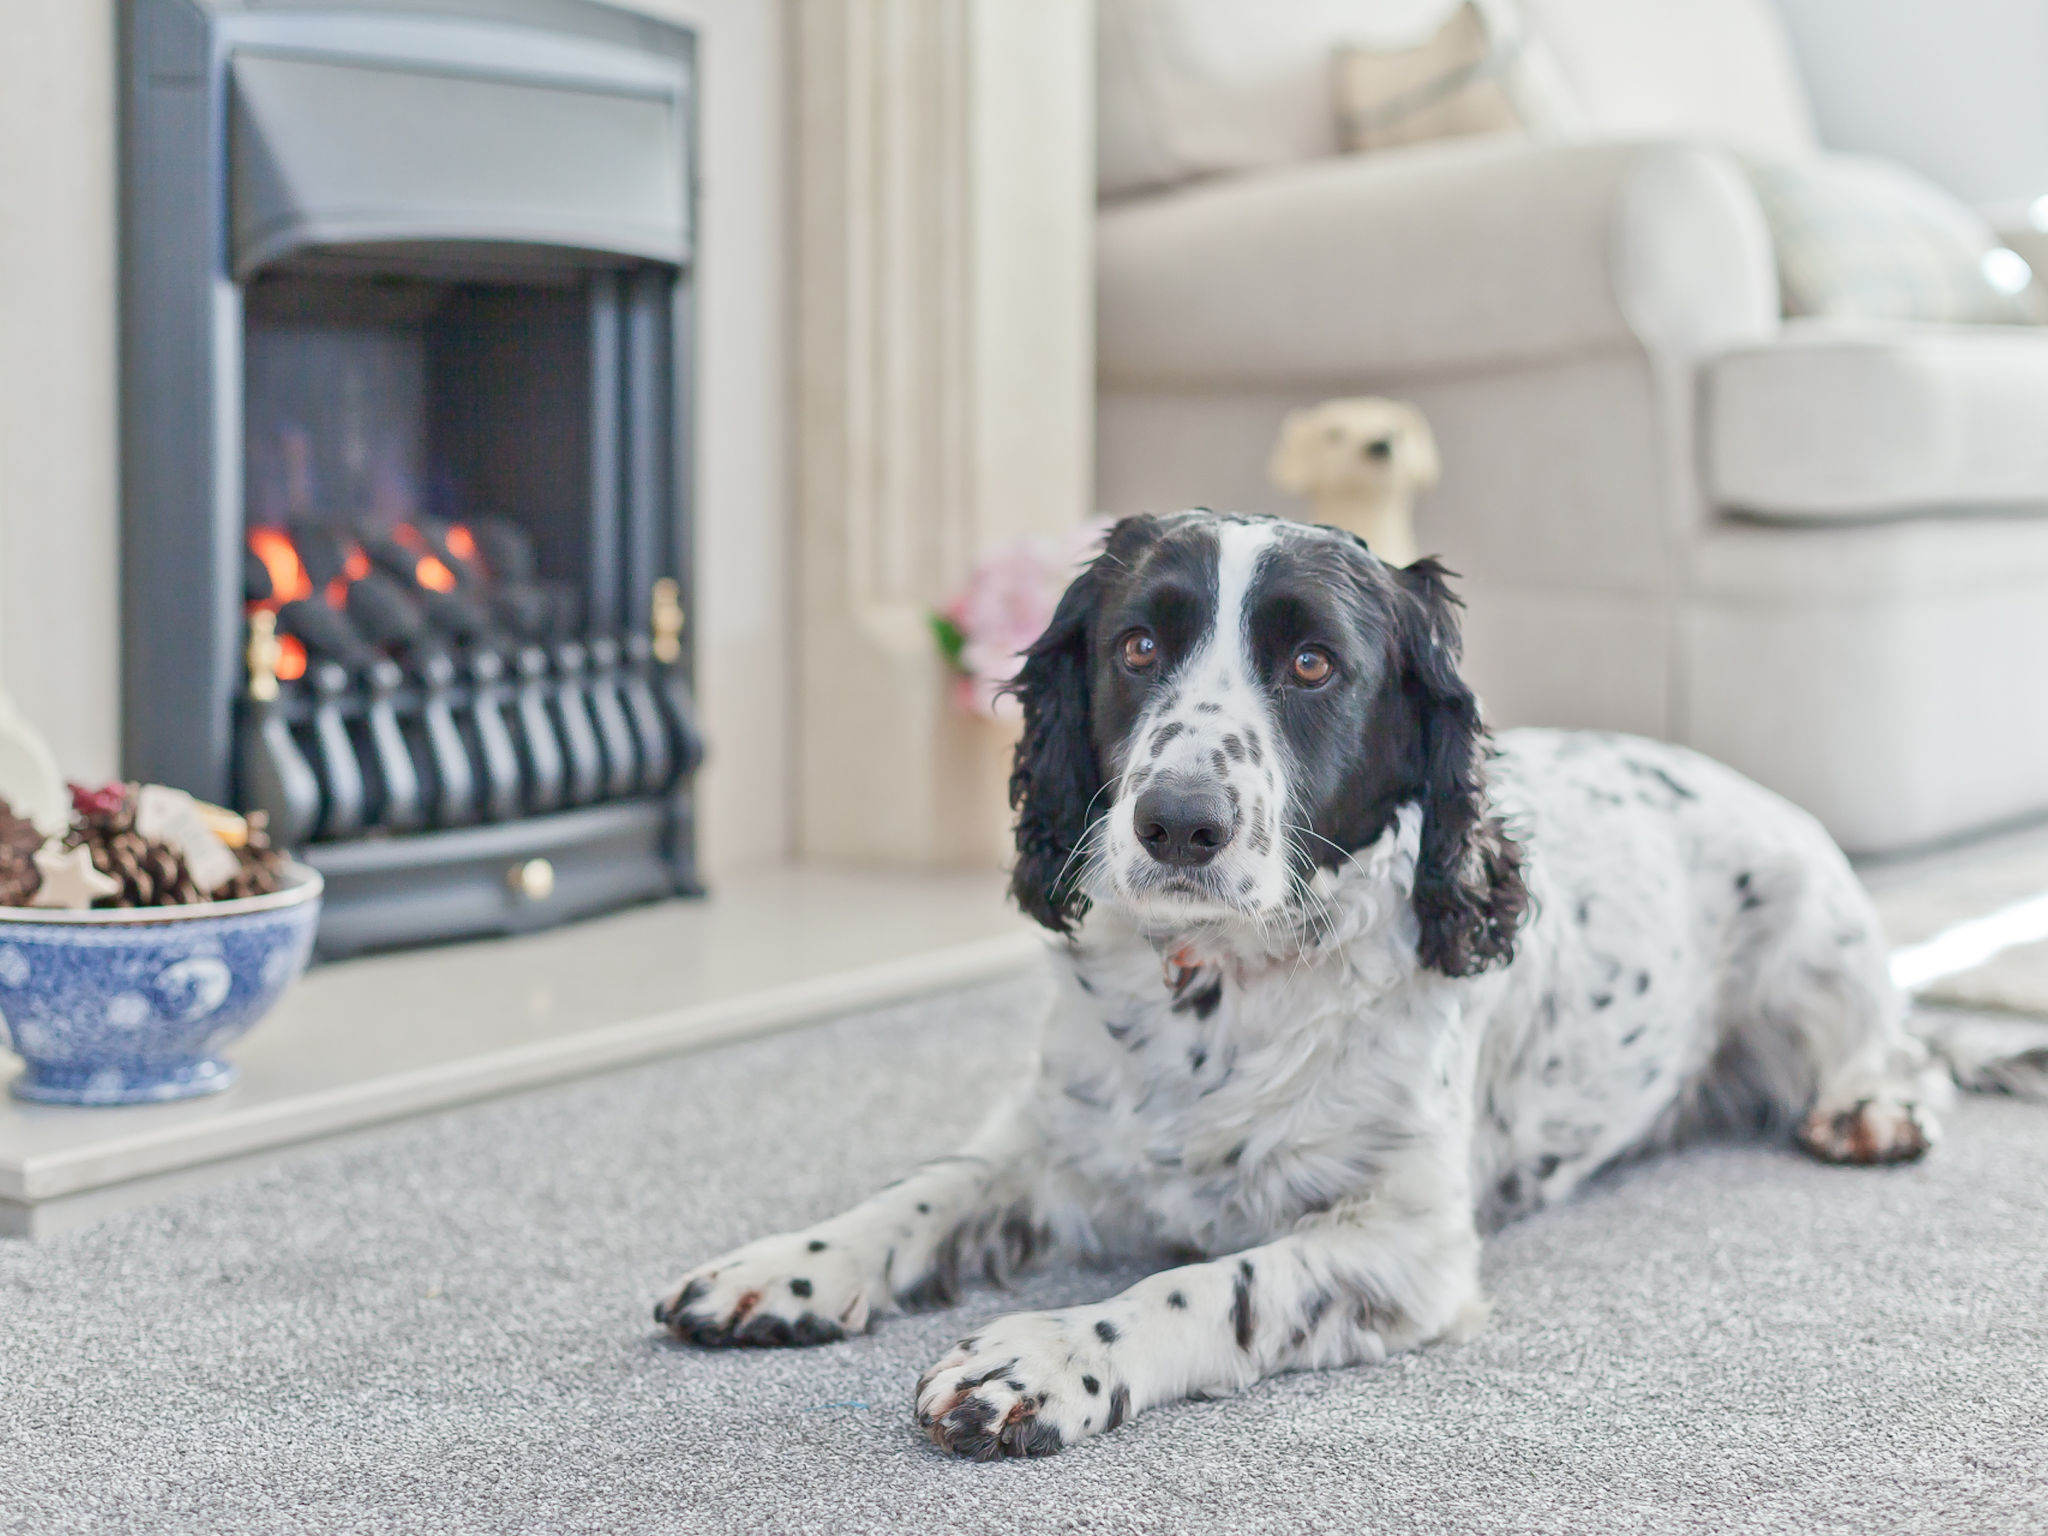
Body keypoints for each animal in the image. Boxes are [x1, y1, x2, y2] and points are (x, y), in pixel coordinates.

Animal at [659, 512, 2015, 1458]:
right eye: (1135, 646)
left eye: (1313, 663)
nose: (1177, 822)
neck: (1211, 993)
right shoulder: (1049, 1146)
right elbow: (920, 1191)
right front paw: (783, 1267)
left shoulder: (1404, 1243)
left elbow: (1206, 1282)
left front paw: (1038, 1358)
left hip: (1811, 938)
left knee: (1894, 1040)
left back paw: (1872, 1106)